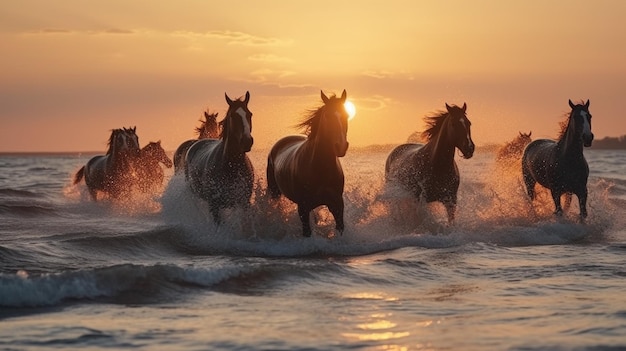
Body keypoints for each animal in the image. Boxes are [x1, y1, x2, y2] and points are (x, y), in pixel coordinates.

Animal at [184, 92, 252, 224]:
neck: (231, 166)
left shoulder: (244, 203)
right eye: (233, 115)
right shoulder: (214, 206)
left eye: (250, 114)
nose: (247, 142)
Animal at [266, 89, 348, 238]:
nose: (341, 146)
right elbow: (307, 232)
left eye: (347, 115)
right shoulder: (303, 208)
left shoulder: (337, 205)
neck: (320, 167)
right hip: (274, 192)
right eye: (327, 115)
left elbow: (340, 227)